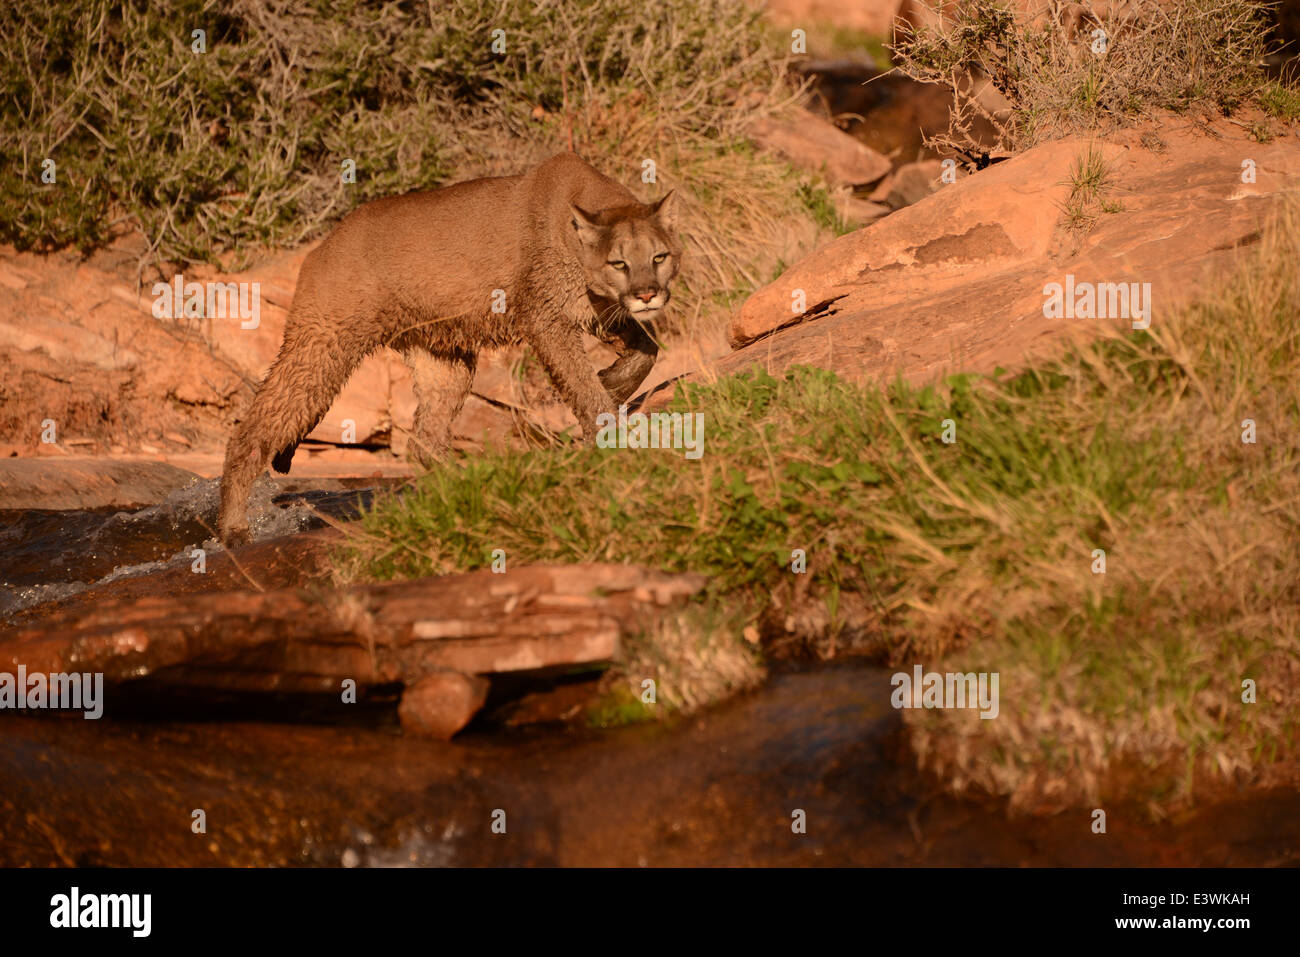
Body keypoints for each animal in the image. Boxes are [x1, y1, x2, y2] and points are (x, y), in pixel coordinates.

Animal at [215, 155, 681, 546]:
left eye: (659, 257)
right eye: (619, 263)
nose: (647, 293)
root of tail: (324, 243)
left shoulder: (603, 313)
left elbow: (648, 350)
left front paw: (614, 382)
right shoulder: (547, 319)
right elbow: (582, 384)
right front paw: (610, 431)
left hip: (443, 357)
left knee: (426, 440)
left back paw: (471, 482)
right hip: (324, 343)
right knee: (252, 430)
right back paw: (234, 529)